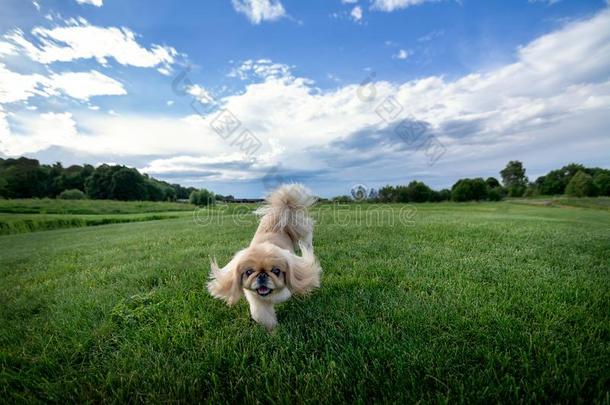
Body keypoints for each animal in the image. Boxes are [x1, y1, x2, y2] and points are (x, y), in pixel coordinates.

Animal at [207, 183, 320, 328]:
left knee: (306, 243)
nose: (262, 275)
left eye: (276, 271)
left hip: (302, 233)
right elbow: (264, 316)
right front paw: (274, 331)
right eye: (249, 272)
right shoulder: (257, 302)